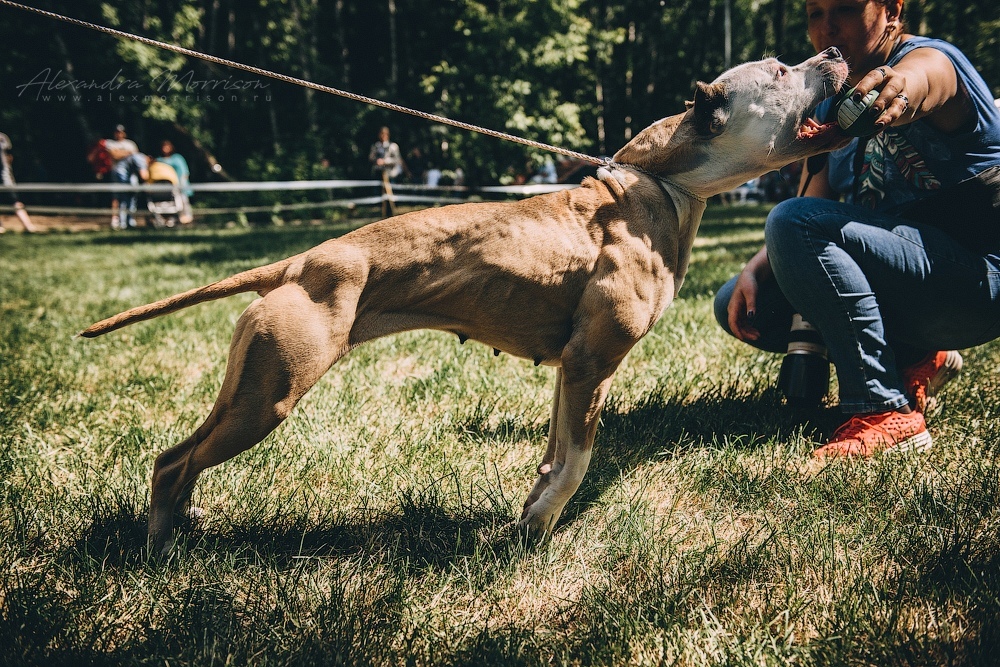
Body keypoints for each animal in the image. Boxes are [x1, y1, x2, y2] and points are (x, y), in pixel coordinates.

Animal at [84, 48, 852, 560]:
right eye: (779, 70)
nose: (836, 52)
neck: (661, 184)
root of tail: (303, 262)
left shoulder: (570, 371)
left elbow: (555, 451)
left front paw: (532, 514)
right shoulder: (592, 361)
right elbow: (578, 458)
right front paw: (539, 526)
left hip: (249, 386)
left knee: (185, 458)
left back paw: (184, 526)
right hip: (269, 394)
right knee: (171, 462)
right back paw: (160, 551)